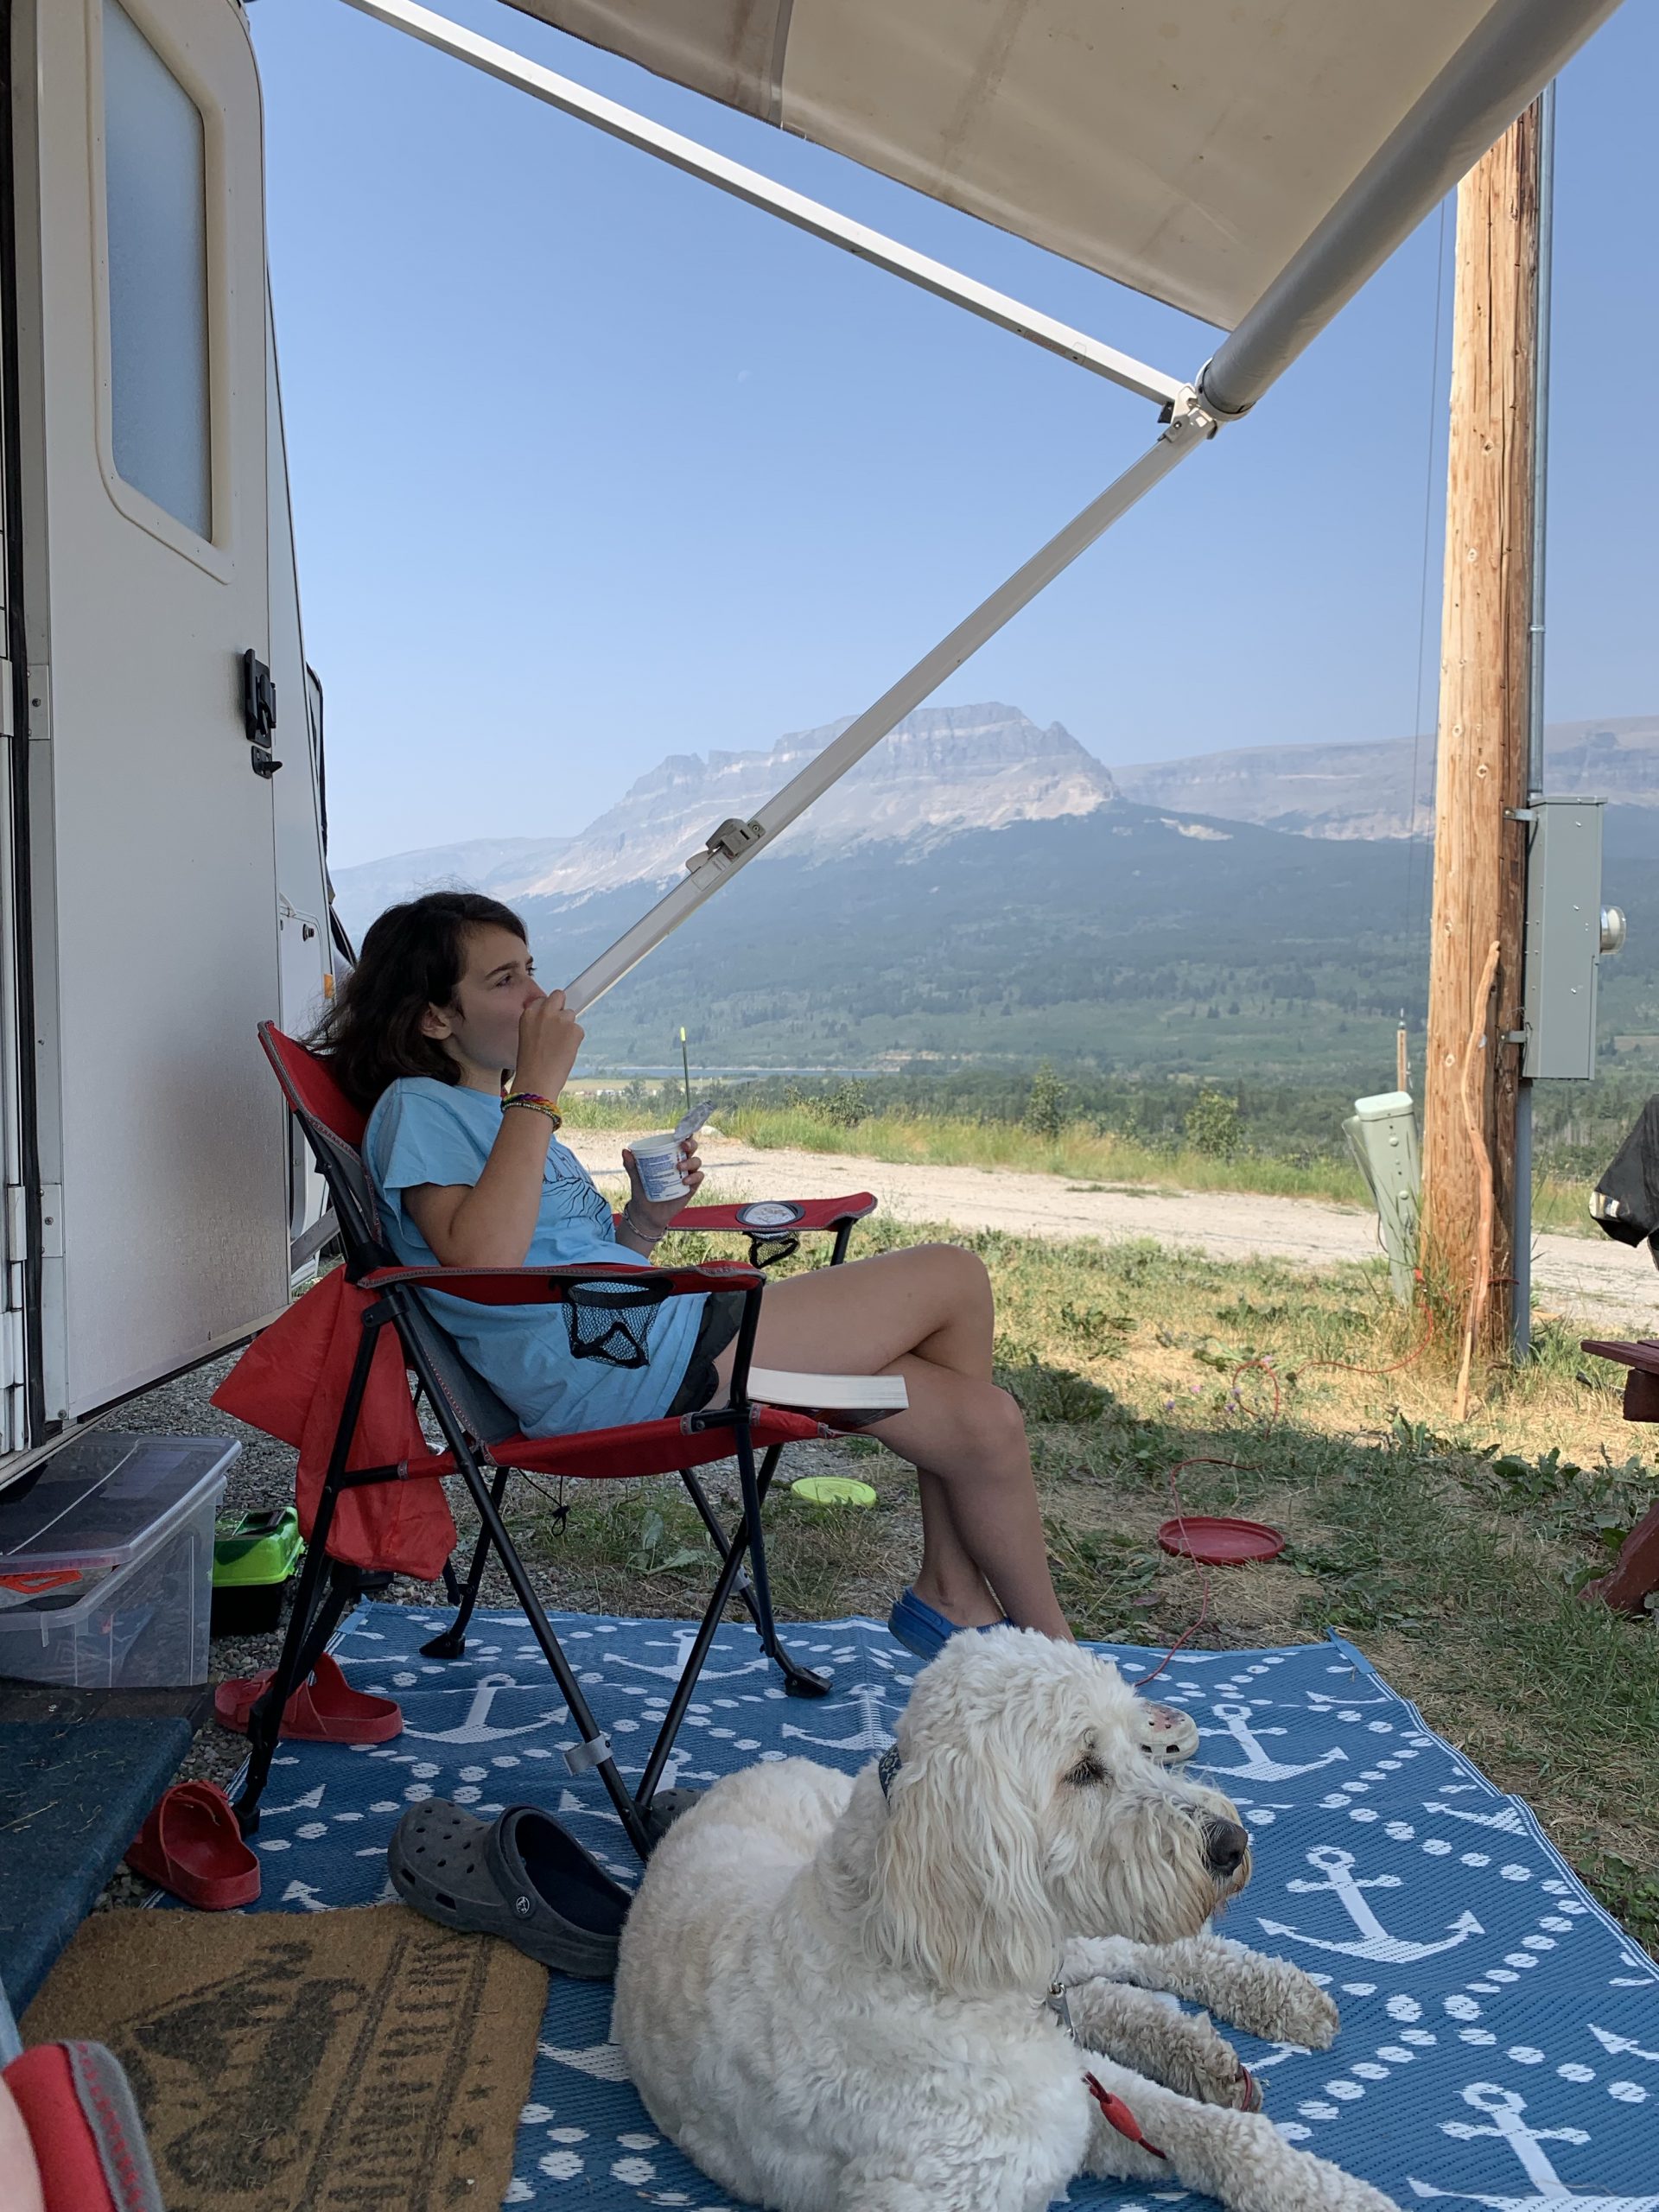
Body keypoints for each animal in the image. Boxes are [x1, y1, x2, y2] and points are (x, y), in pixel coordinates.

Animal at [615, 1629, 1402, 2212]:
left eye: (1135, 1743)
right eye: (1082, 1770)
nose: (1231, 1844)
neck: (918, 1969)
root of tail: (739, 1778)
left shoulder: (1077, 2101)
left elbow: (1215, 2131)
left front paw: (1330, 2194)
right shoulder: (1035, 2135)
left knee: (1135, 1958)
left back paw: (1277, 2001)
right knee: (1103, 1992)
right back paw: (1197, 2046)